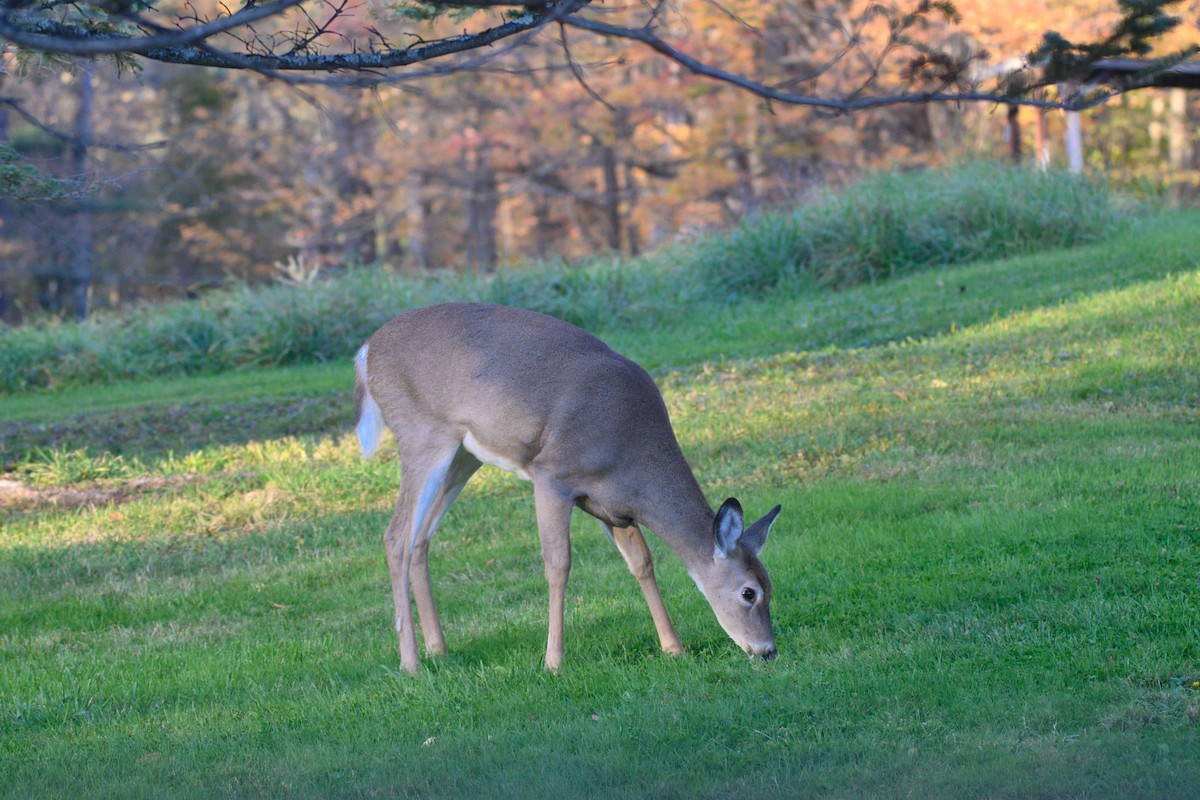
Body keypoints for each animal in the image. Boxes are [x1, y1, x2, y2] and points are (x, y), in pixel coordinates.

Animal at [354, 302, 782, 674]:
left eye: (771, 585)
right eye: (749, 592)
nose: (767, 650)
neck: (634, 453)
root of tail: (366, 351)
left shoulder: (611, 505)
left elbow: (642, 562)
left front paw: (673, 647)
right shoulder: (552, 475)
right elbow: (559, 564)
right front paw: (553, 662)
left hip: (463, 455)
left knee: (420, 538)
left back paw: (438, 649)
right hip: (422, 434)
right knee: (396, 537)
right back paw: (410, 663)